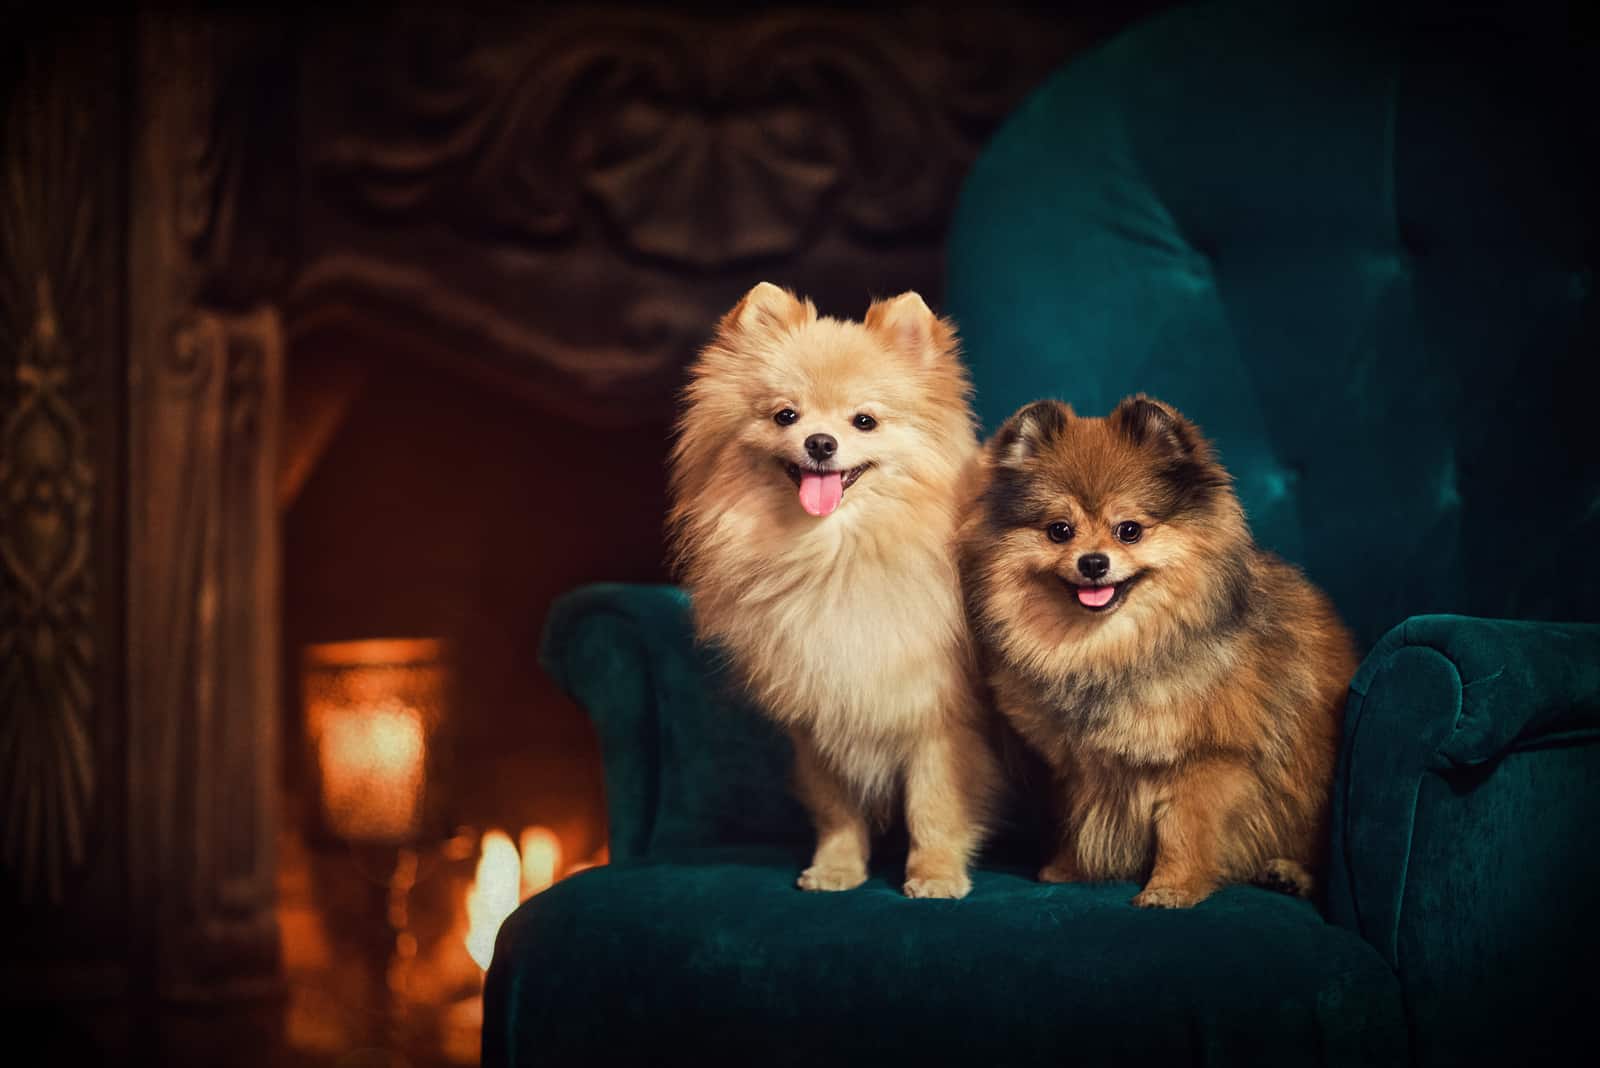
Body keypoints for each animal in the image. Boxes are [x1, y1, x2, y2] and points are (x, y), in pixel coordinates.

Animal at [665, 282, 992, 901]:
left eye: (864, 420)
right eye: (785, 415)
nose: (820, 442)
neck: (834, 556)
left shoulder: (939, 718)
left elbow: (934, 805)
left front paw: (935, 873)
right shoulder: (821, 713)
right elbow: (837, 808)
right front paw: (838, 869)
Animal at [953, 396, 1356, 908]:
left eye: (1129, 530)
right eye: (1059, 530)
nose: (1093, 562)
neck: (1110, 648)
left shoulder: (1206, 762)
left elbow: (1182, 832)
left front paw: (1171, 888)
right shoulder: (1078, 767)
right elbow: (1076, 818)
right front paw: (1069, 868)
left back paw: (1291, 874)